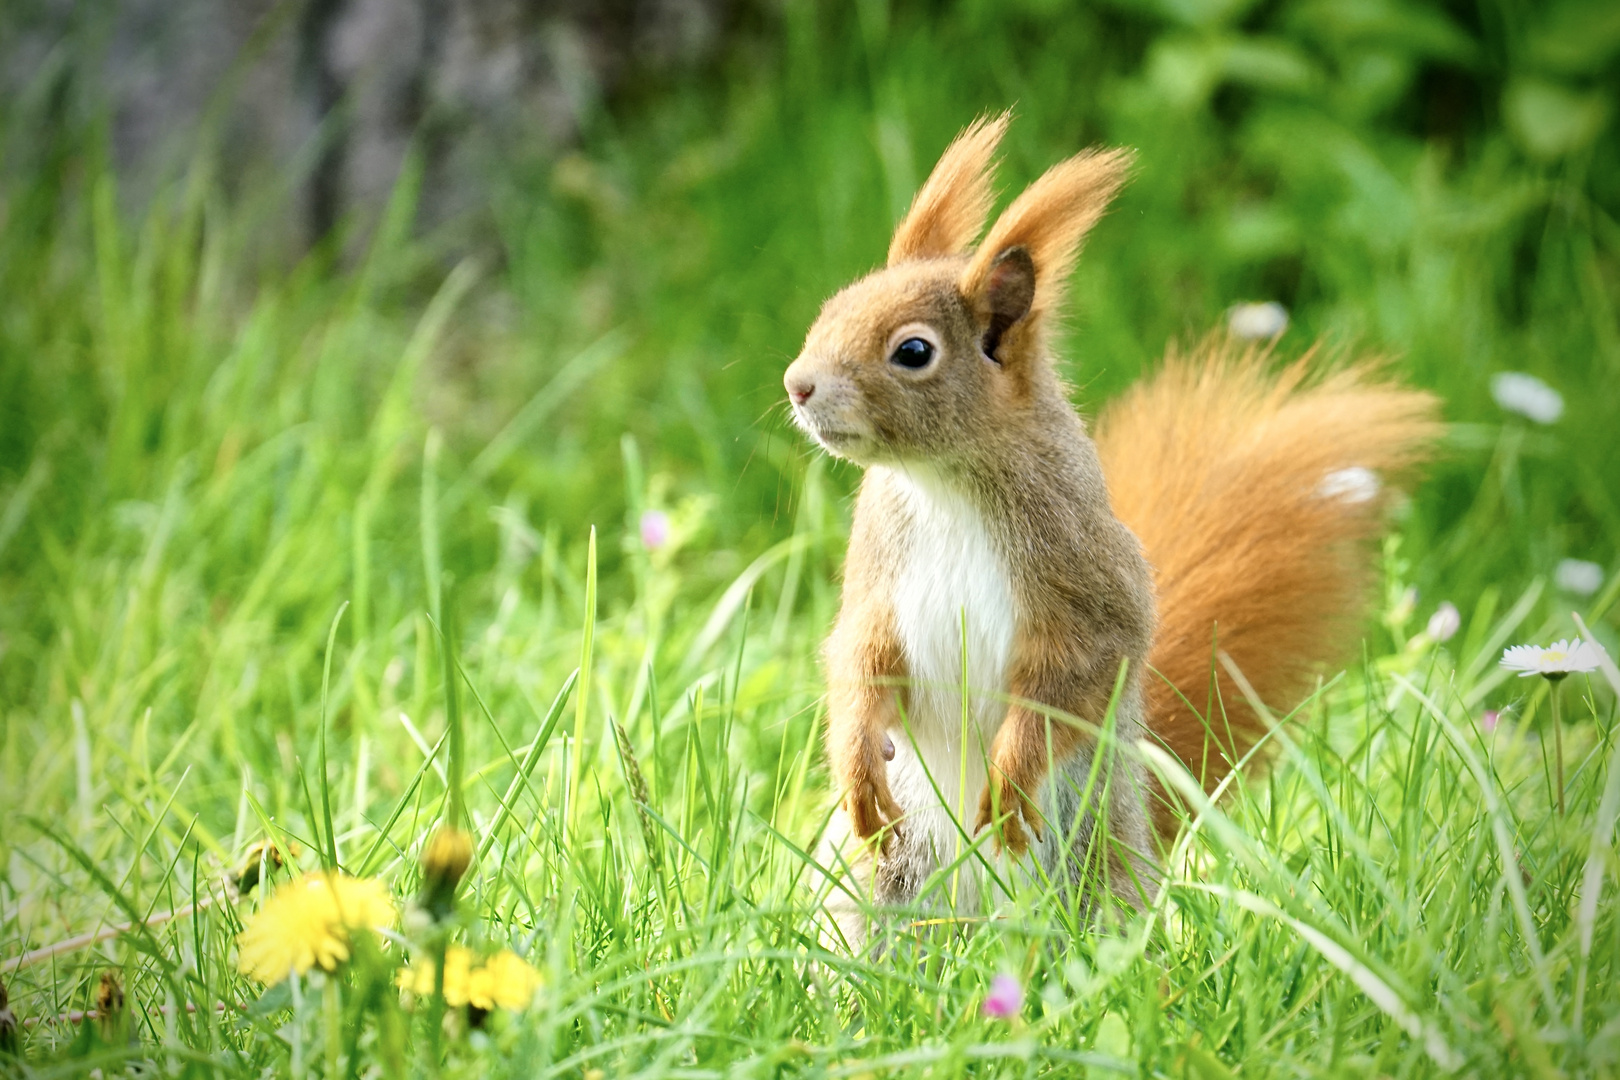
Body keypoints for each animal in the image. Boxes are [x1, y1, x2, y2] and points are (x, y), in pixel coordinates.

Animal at [787, 114, 1445, 952]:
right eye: (830, 309)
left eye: (912, 352)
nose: (798, 384)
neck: (944, 483)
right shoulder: (877, 577)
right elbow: (858, 660)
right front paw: (856, 767)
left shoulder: (1082, 584)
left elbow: (1073, 678)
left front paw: (1008, 782)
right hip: (878, 881)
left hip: (1087, 860)